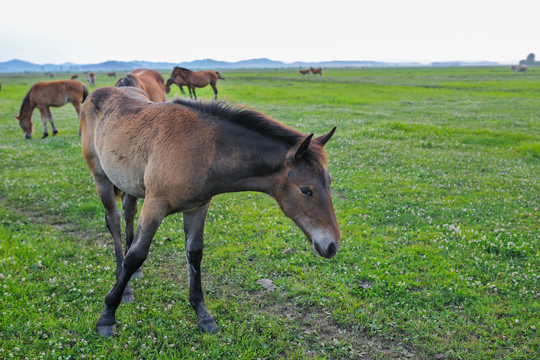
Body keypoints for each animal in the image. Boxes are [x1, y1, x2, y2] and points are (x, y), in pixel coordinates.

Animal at [80, 86, 340, 336]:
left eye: (328, 181)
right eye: (306, 190)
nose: (332, 245)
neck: (204, 149)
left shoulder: (198, 207)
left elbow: (194, 253)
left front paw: (202, 313)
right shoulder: (155, 205)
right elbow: (136, 255)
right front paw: (108, 314)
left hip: (129, 183)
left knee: (128, 214)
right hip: (101, 178)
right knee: (114, 221)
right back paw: (123, 281)